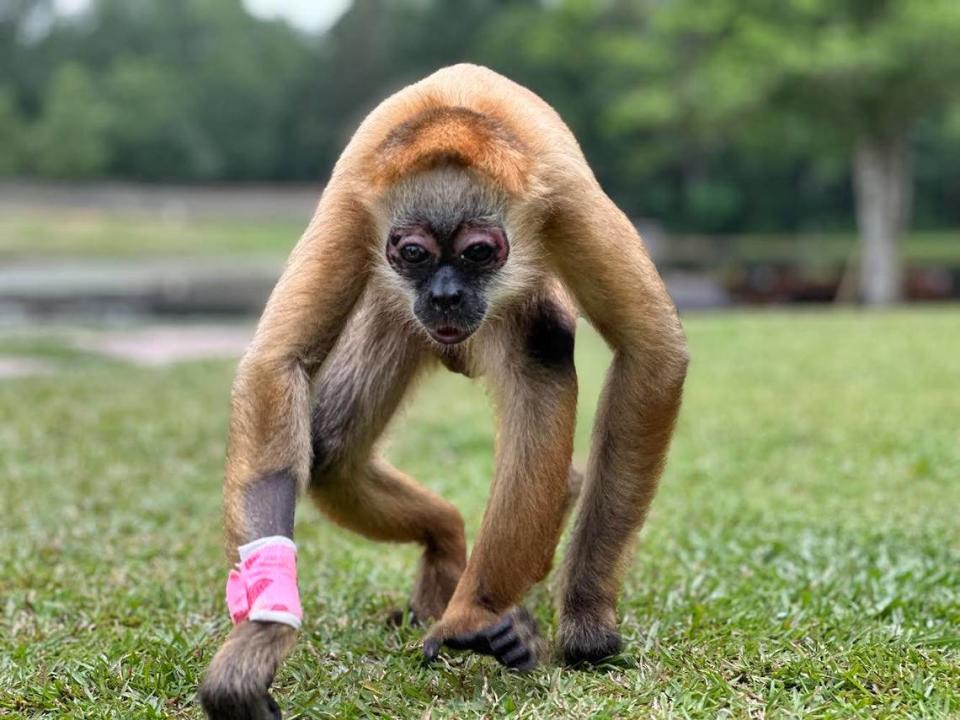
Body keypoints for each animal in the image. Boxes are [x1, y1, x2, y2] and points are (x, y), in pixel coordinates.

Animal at [199, 64, 688, 716]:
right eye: (414, 254)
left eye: (479, 252)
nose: (447, 295)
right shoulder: (353, 203)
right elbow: (278, 364)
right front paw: (261, 634)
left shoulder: (564, 201)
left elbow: (652, 353)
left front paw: (585, 614)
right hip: (398, 314)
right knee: (330, 450)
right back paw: (448, 543)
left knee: (543, 345)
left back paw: (480, 612)